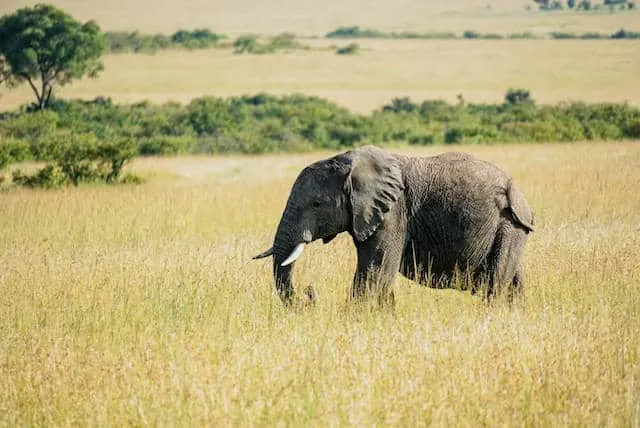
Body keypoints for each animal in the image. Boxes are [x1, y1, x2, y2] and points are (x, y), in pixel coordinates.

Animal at [252, 145, 532, 306]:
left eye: (316, 204)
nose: (309, 293)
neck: (349, 164)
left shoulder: (394, 211)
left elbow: (376, 269)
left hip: (509, 224)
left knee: (496, 281)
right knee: (513, 280)